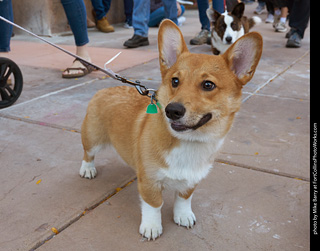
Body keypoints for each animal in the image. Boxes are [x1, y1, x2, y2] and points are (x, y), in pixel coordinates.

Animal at [80, 19, 262, 239]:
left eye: (208, 85)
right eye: (175, 81)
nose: (172, 111)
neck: (189, 142)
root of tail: (106, 88)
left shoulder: (192, 181)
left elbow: (183, 199)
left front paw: (183, 216)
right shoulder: (149, 182)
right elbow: (154, 204)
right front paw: (151, 227)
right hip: (92, 137)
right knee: (88, 154)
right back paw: (87, 169)